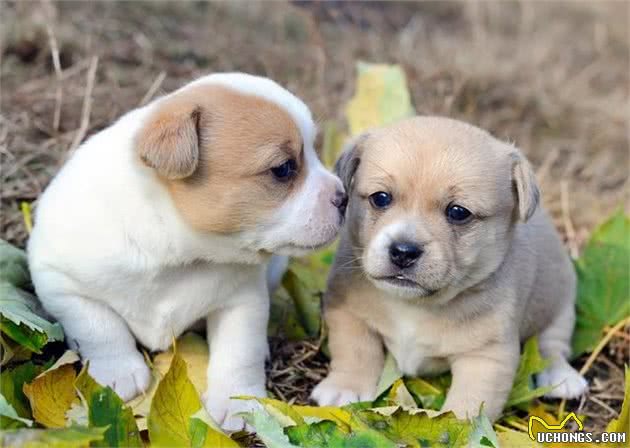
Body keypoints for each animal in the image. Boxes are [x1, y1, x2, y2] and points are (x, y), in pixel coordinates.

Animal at [27, 72, 348, 428]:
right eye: (283, 169)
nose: (344, 197)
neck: (176, 252)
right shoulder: (60, 283)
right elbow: (98, 326)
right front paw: (117, 371)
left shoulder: (243, 301)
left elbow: (240, 352)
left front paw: (238, 400)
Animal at [314, 117, 592, 422]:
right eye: (381, 198)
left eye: (458, 212)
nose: (403, 251)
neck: (412, 305)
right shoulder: (348, 314)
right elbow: (355, 350)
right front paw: (345, 386)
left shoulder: (485, 357)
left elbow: (468, 407)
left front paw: (456, 428)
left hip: (560, 306)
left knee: (552, 345)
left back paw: (561, 376)